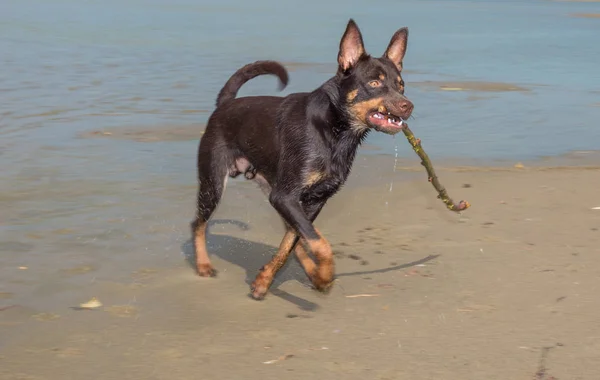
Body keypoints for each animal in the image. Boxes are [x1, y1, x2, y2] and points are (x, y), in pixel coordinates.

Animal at [192, 19, 412, 300]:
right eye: (374, 83)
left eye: (401, 85)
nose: (408, 106)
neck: (334, 130)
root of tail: (224, 104)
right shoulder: (286, 197)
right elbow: (320, 243)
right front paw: (325, 275)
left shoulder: (312, 200)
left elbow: (298, 240)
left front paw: (267, 280)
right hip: (213, 183)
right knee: (198, 223)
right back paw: (203, 264)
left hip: (271, 188)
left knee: (292, 234)